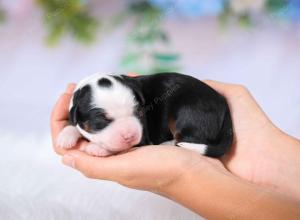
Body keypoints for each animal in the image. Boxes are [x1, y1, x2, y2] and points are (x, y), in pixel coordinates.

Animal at [56, 73, 234, 157]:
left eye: (139, 112)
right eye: (101, 121)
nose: (129, 135)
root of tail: (224, 106)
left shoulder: (143, 136)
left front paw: (98, 148)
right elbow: (74, 124)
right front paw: (66, 137)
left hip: (187, 113)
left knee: (186, 140)